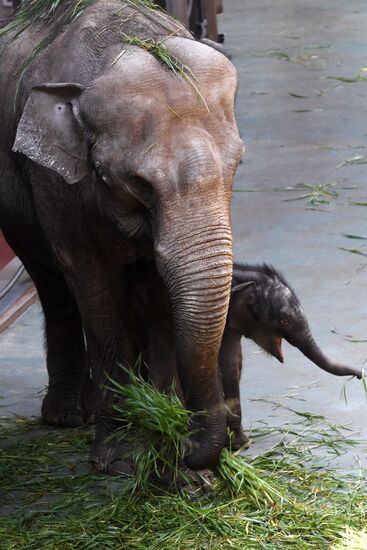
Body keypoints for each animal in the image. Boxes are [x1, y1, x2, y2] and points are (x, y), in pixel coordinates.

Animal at [0, 0, 244, 474]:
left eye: (238, 163)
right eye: (138, 183)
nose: (189, 445)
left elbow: (158, 293)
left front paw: (162, 434)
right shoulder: (54, 182)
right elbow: (94, 287)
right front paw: (119, 457)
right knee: (54, 286)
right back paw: (67, 416)